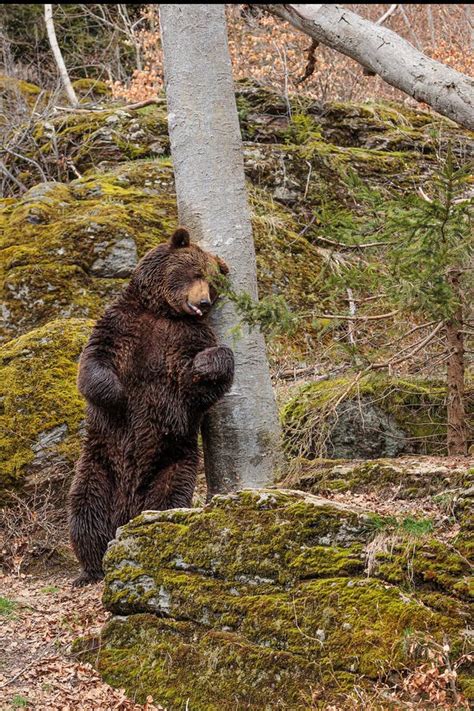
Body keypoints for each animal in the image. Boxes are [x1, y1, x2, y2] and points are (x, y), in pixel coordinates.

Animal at [68, 229, 235, 588]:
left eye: (212, 281)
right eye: (195, 273)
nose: (203, 302)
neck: (164, 313)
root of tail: (126, 510)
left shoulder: (186, 340)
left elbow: (203, 384)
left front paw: (207, 365)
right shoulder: (120, 325)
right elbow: (93, 364)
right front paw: (118, 395)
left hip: (174, 463)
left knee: (166, 500)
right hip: (98, 463)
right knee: (86, 511)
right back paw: (89, 569)